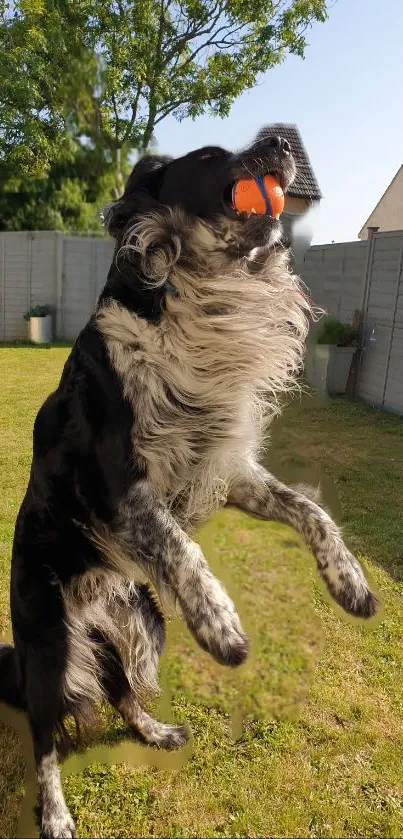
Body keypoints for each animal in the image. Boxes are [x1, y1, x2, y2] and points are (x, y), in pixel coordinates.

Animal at [0, 128, 378, 836]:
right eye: (207, 157)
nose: (282, 140)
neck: (201, 292)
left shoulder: (226, 472)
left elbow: (309, 510)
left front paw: (351, 583)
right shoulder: (118, 486)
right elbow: (180, 546)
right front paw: (221, 625)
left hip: (140, 619)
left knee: (120, 692)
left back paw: (154, 731)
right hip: (49, 649)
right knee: (45, 738)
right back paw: (56, 814)